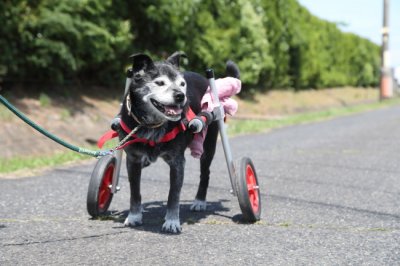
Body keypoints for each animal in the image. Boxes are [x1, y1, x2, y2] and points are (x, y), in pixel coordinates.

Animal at [118, 52, 238, 233]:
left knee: (205, 174)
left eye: (182, 84)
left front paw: (172, 221)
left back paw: (199, 201)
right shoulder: (133, 160)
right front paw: (134, 216)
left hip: (208, 147)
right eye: (159, 83)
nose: (181, 96)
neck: (152, 125)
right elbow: (135, 191)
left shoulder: (177, 162)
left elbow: (173, 194)